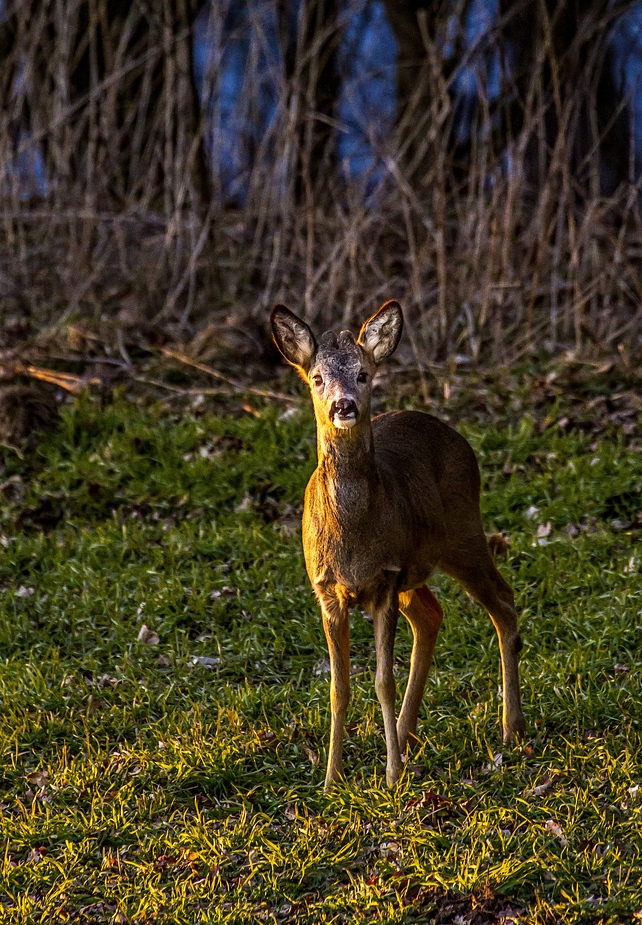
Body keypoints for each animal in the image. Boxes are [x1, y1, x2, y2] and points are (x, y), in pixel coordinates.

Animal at [270, 302, 524, 788]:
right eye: (317, 378)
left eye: (363, 374)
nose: (344, 405)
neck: (353, 535)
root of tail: (456, 436)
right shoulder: (327, 589)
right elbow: (339, 686)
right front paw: (332, 779)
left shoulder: (385, 579)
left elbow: (382, 680)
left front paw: (390, 777)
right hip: (418, 565)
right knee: (431, 614)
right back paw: (406, 738)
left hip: (463, 531)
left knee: (503, 600)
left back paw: (511, 729)